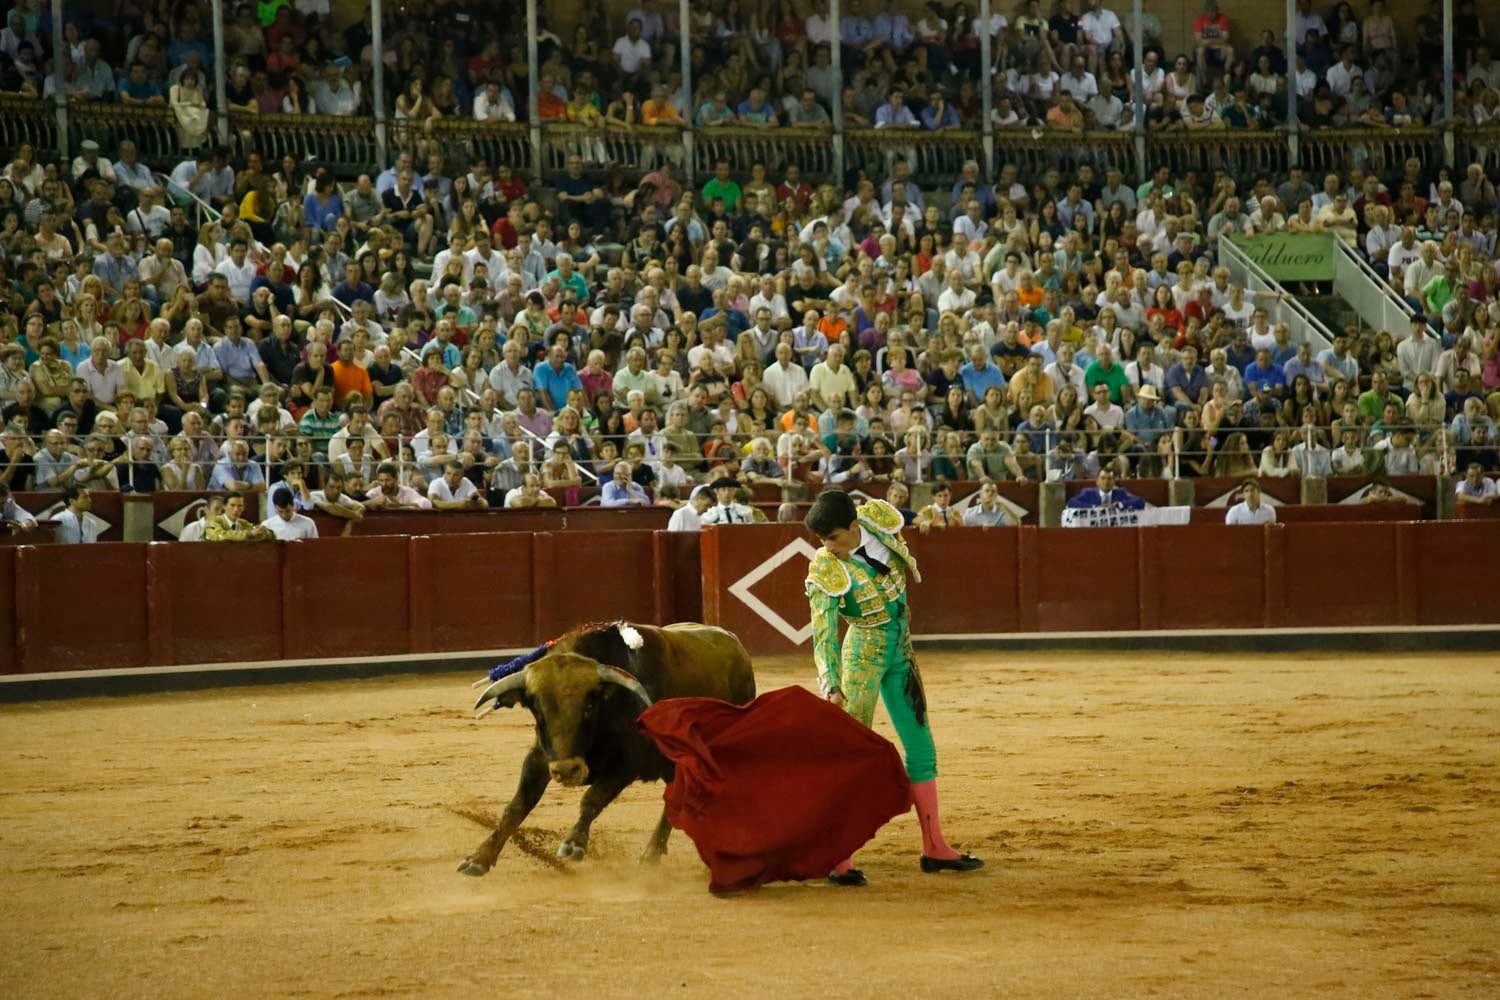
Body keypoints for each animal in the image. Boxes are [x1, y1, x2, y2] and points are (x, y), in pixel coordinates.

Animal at [456, 617, 756, 875]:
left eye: (589, 707)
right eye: (538, 711)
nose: (568, 770)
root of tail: (735, 643)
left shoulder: (626, 764)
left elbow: (592, 799)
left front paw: (573, 844)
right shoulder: (541, 757)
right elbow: (516, 806)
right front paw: (479, 858)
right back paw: (652, 855)